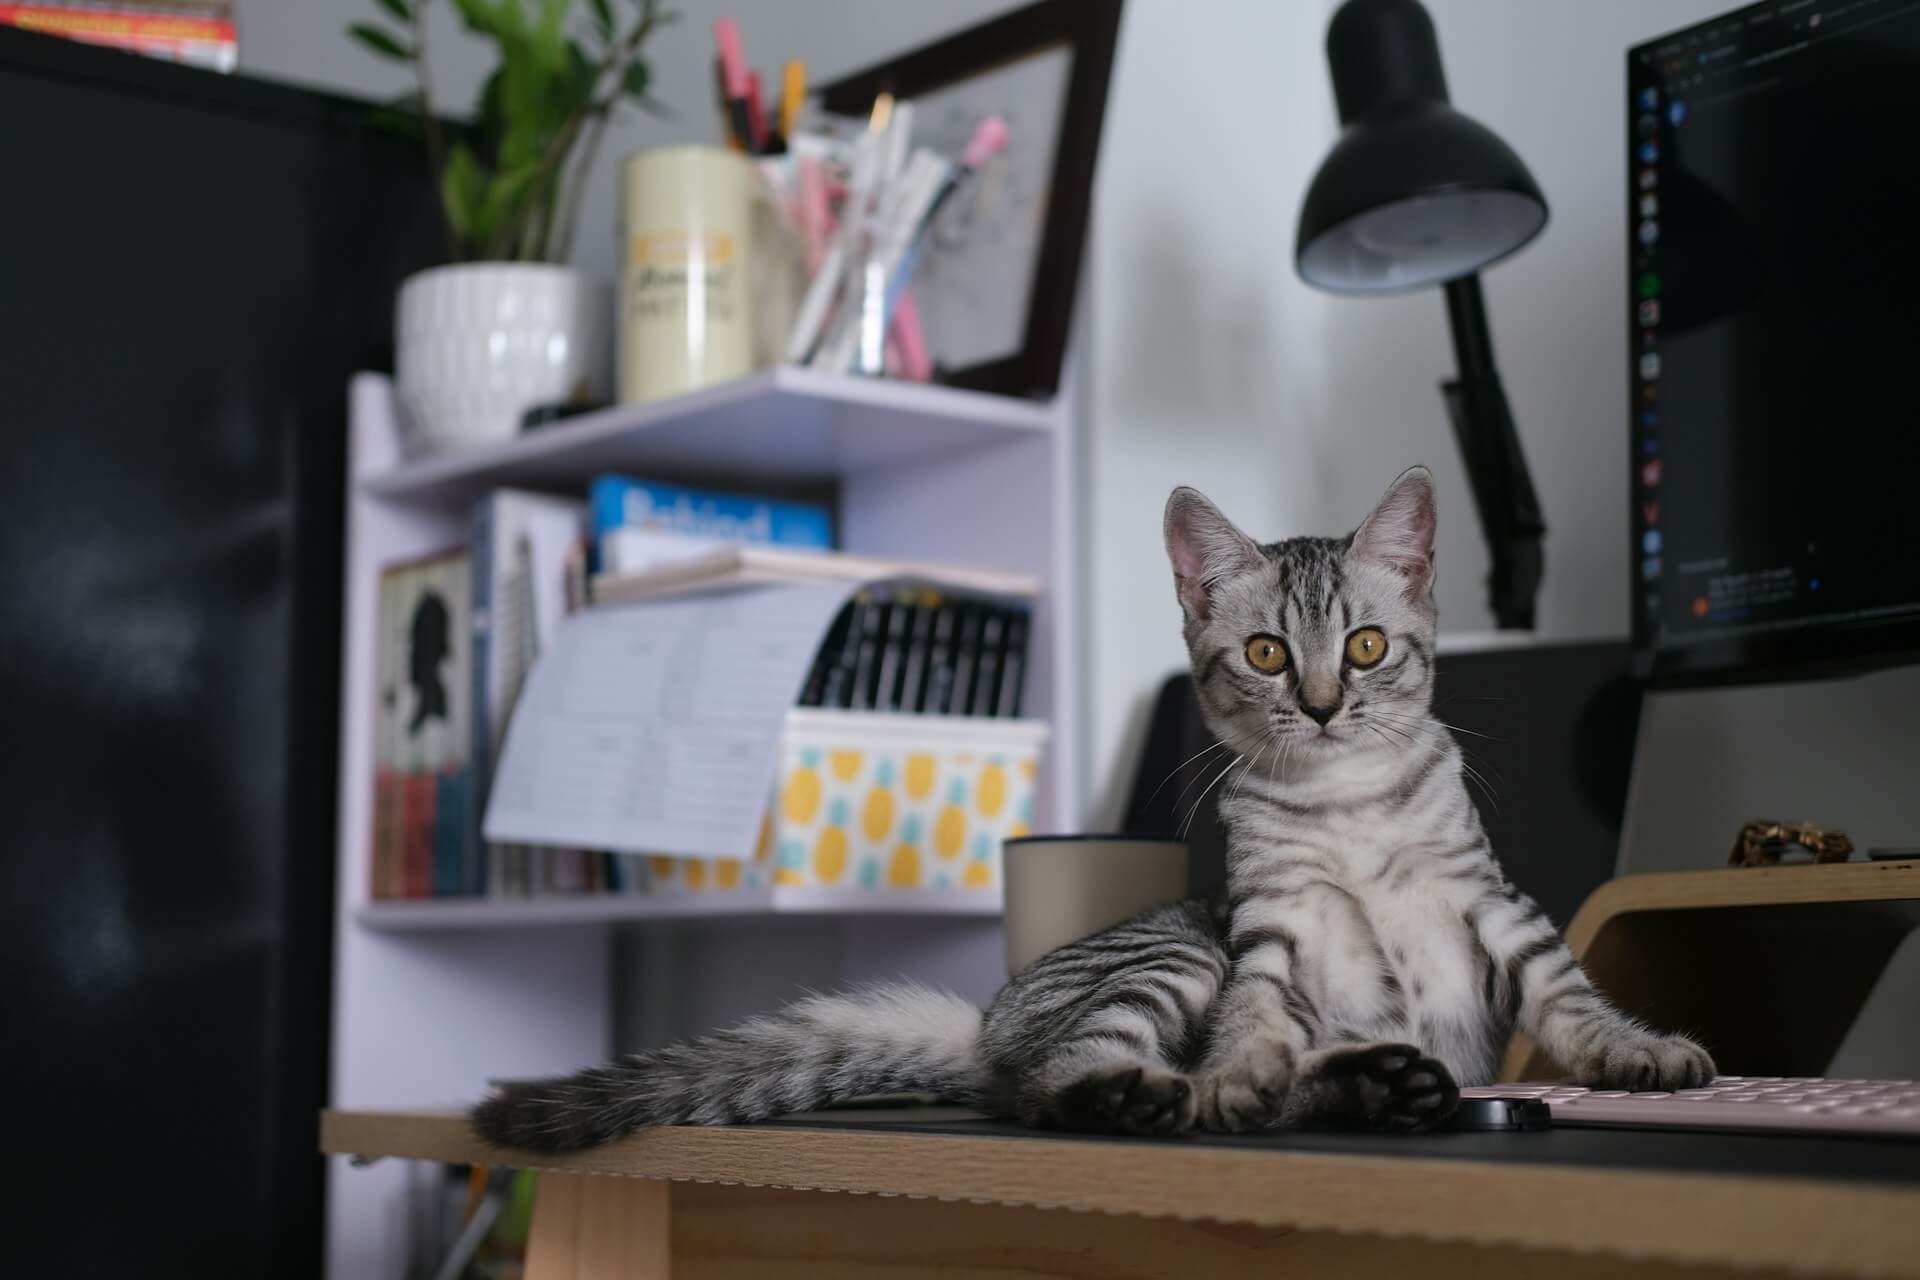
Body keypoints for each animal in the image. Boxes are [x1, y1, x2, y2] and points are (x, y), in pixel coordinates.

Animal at [472, 468, 1720, 1151]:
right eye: (1268, 653)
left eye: (1365, 647)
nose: (1321, 706)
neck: (1348, 809)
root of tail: (984, 1020)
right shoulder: (1266, 934)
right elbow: (1256, 1025)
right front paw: (1240, 1070)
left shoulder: (1488, 902)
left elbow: (1568, 992)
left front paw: (1636, 1051)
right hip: (1170, 962)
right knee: (1065, 1088)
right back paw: (1172, 1091)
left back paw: (1381, 1083)